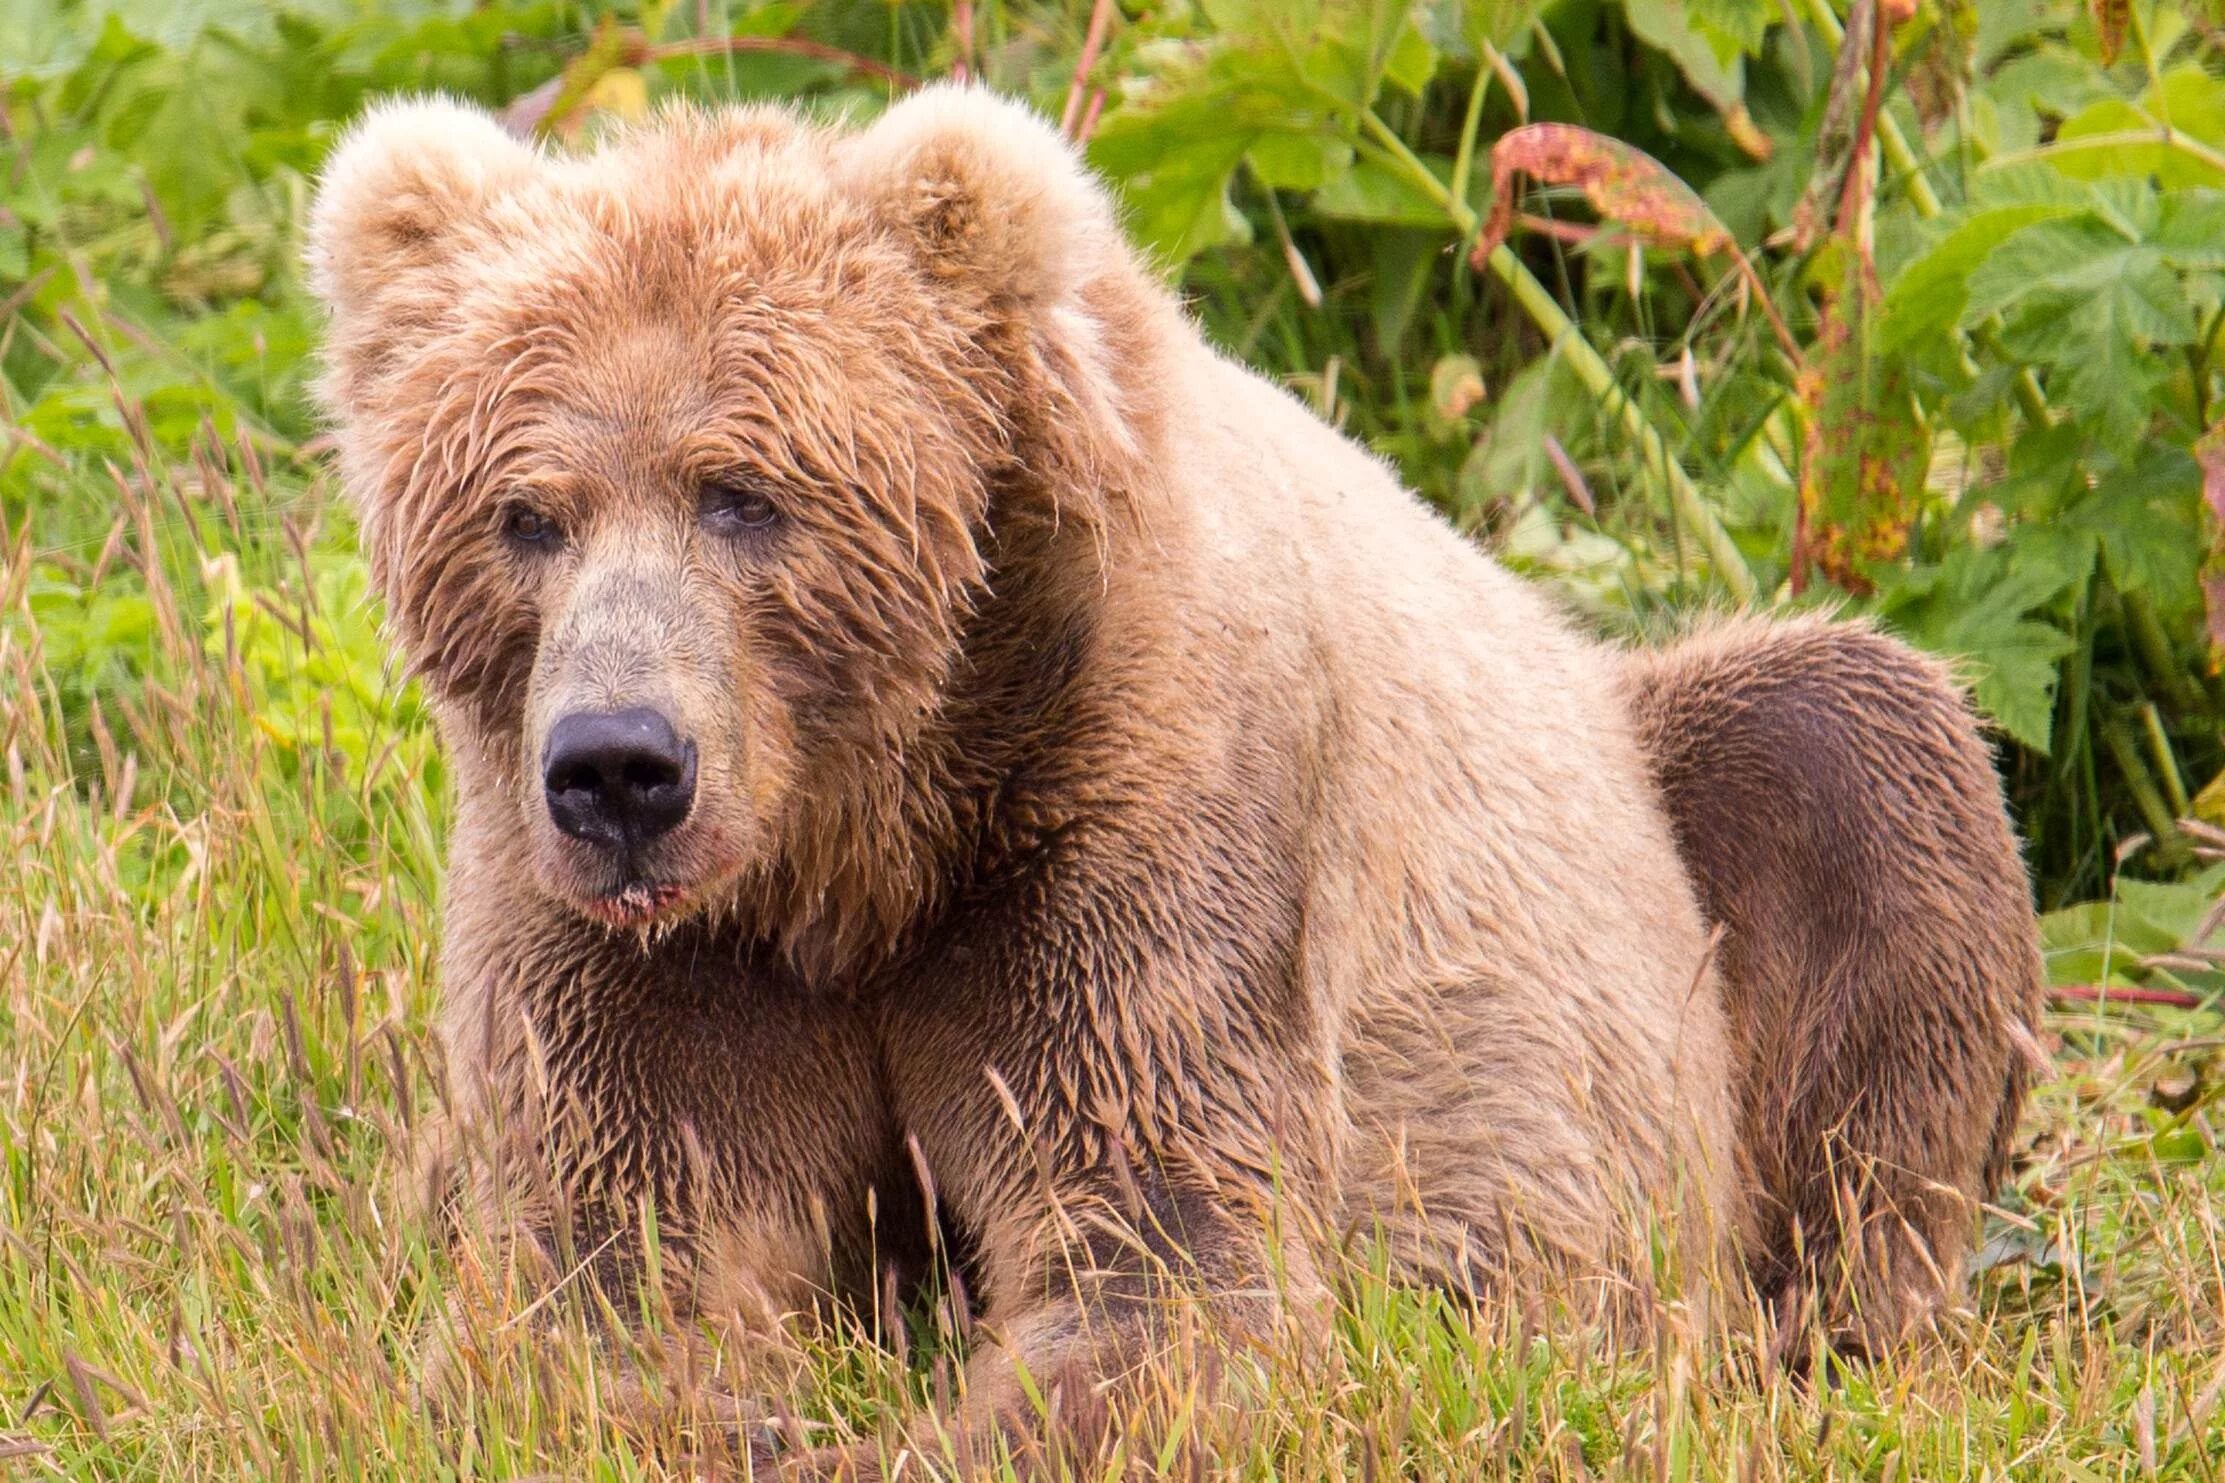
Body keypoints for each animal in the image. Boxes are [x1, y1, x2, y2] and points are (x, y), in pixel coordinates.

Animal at [304, 90, 2038, 1476]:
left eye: (744, 494)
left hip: (1680, 828)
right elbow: (607, 1260)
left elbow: (1166, 1269)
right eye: (528, 512)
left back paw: (1811, 1337)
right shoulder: (638, 949)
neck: (867, 845)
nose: (620, 766)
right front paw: (723, 1406)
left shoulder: (1134, 824)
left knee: (1860, 760)